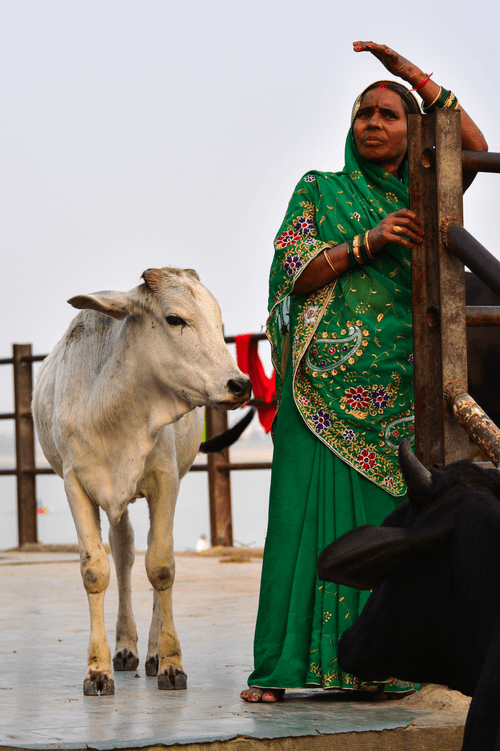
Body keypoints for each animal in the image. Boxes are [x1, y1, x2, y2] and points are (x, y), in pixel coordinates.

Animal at [31, 268, 252, 696]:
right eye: (175, 319)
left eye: (218, 323)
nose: (239, 385)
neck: (113, 409)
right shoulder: (76, 485)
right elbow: (96, 571)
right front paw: (97, 669)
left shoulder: (166, 479)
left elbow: (161, 566)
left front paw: (171, 663)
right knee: (123, 552)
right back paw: (125, 647)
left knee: (149, 552)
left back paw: (150, 654)